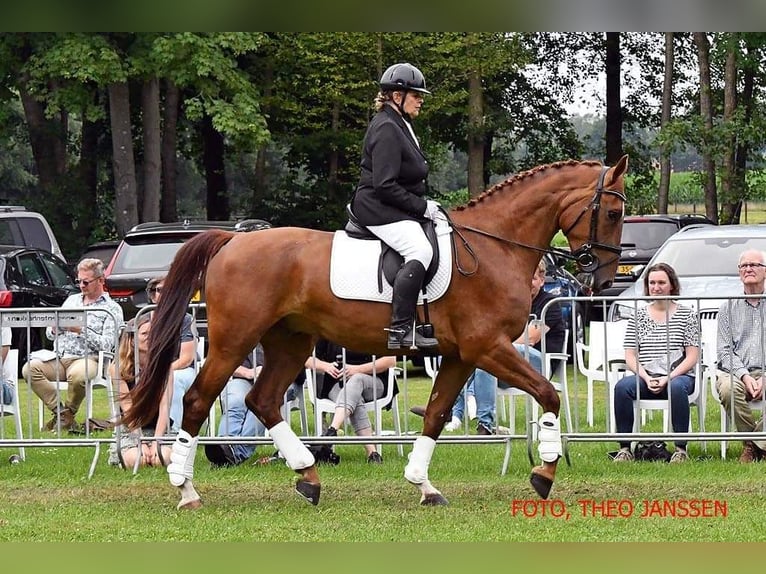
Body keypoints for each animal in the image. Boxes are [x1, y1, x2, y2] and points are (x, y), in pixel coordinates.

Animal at [124, 155, 632, 510]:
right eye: (611, 213)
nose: (603, 279)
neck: (492, 249)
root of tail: (233, 240)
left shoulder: (462, 354)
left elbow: (435, 415)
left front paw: (424, 485)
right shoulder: (488, 347)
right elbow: (548, 394)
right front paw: (544, 474)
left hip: (289, 342)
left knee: (262, 400)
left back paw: (308, 477)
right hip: (234, 342)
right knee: (198, 400)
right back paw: (187, 491)